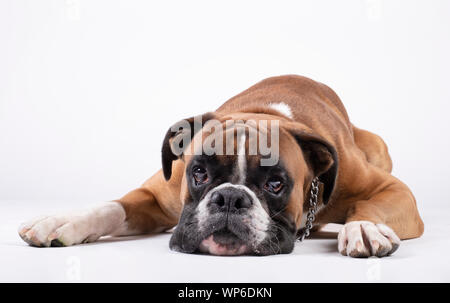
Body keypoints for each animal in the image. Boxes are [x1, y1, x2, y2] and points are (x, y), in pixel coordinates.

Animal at [18, 75, 426, 258]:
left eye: (276, 184)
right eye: (199, 173)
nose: (229, 198)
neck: (263, 115)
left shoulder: (392, 190)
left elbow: (371, 205)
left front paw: (364, 228)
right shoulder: (155, 195)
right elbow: (111, 207)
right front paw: (61, 222)